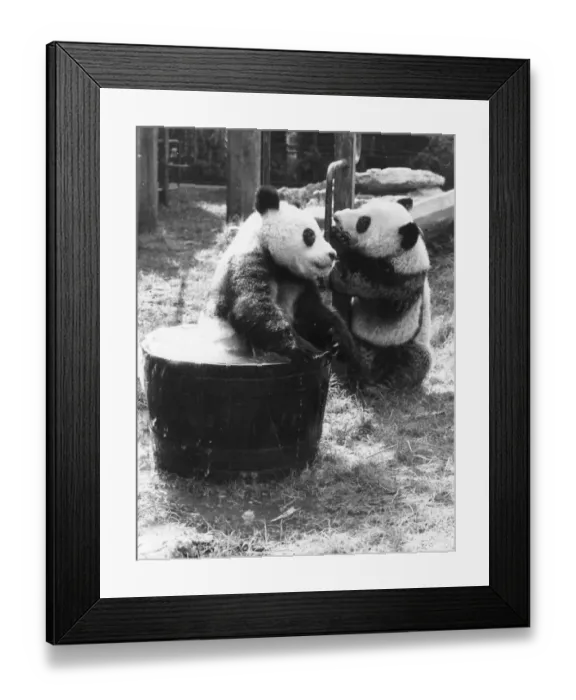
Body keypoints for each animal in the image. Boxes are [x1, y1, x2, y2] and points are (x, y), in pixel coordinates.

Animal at [201, 185, 362, 369]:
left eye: (322, 234)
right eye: (310, 235)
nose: (332, 255)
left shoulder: (298, 280)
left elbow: (313, 312)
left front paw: (340, 343)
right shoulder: (245, 264)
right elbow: (252, 307)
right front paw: (304, 349)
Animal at [329, 196, 432, 389]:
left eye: (364, 222)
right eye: (361, 206)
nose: (336, 216)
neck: (404, 253)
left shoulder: (405, 283)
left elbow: (381, 303)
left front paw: (340, 243)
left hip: (402, 345)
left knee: (415, 360)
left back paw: (381, 383)